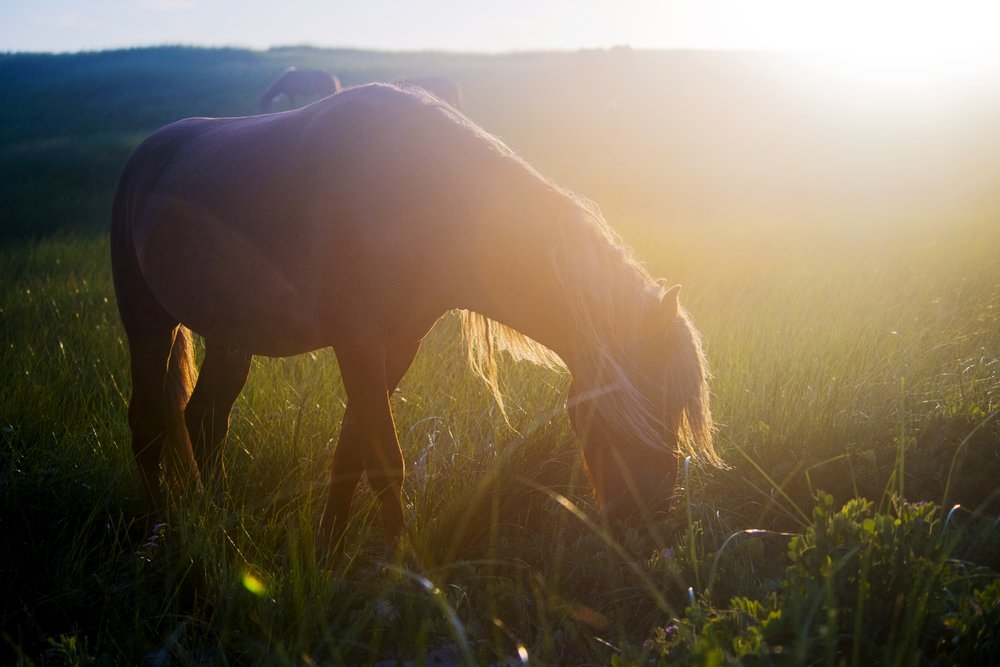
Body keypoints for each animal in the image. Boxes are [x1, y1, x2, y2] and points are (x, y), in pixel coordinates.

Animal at [111, 81, 720, 556]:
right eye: (645, 402)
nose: (649, 523)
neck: (416, 195)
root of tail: (149, 154)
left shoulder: (396, 347)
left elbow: (352, 453)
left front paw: (328, 553)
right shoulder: (357, 342)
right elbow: (384, 458)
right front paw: (404, 571)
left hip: (231, 338)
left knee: (204, 419)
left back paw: (210, 516)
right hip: (147, 321)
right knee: (148, 422)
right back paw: (159, 531)